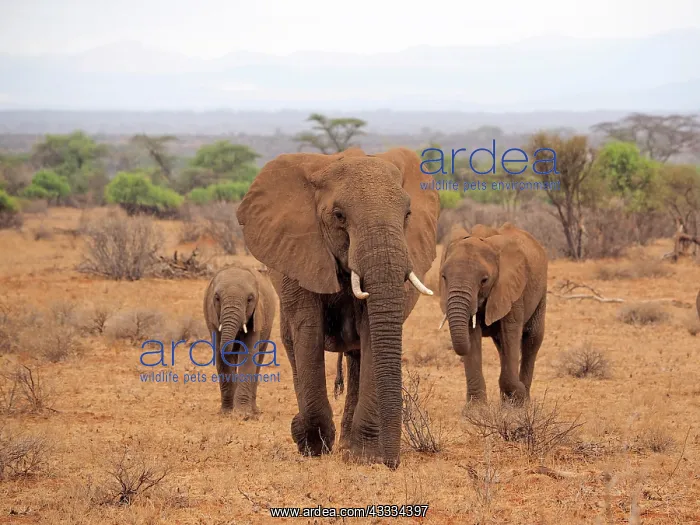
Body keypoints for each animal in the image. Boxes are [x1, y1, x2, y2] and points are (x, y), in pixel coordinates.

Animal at [203, 265, 277, 414]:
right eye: (217, 298)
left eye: (250, 299)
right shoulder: (212, 317)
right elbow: (221, 355)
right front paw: (227, 413)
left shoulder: (257, 315)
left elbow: (248, 354)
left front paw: (242, 414)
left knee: (259, 359)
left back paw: (254, 411)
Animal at [237, 147, 439, 469]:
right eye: (339, 216)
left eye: (408, 215)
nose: (392, 463)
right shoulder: (302, 254)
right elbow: (308, 332)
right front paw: (310, 443)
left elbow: (371, 335)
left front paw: (363, 456)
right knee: (294, 346)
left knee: (357, 357)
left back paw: (347, 446)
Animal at [438, 222, 548, 406]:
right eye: (444, 277)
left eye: (484, 280)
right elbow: (472, 335)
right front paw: (476, 409)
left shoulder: (511, 289)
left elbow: (510, 333)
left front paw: (517, 400)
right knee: (502, 346)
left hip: (541, 290)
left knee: (531, 339)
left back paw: (522, 401)